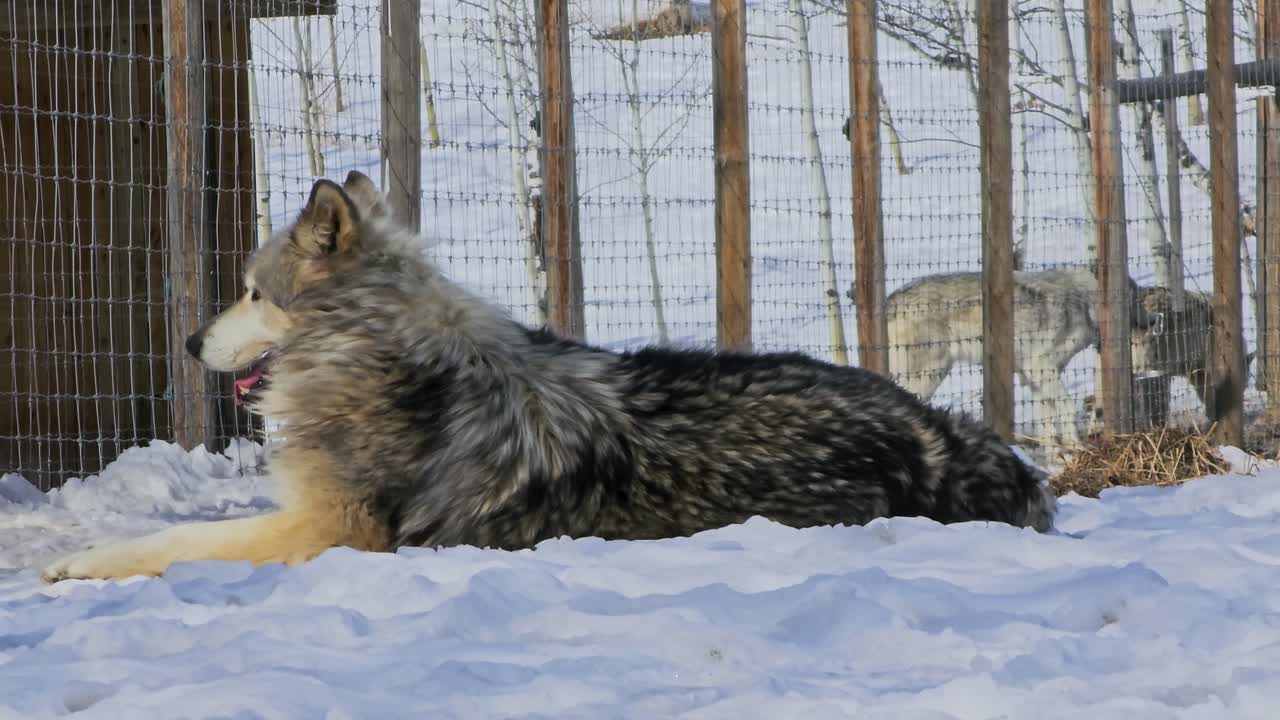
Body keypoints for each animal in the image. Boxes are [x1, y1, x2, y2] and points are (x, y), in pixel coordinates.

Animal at [42, 172, 1055, 583]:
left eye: (252, 293)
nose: (185, 342)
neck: (371, 352)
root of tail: (942, 435)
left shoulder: (331, 532)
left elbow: (170, 544)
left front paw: (74, 562)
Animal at [882, 268, 1153, 446]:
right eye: (1137, 299)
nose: (1152, 320)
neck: (1084, 301)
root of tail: (890, 301)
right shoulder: (1040, 368)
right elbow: (1066, 406)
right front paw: (1076, 446)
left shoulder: (1039, 375)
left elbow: (1047, 420)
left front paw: (1058, 458)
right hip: (929, 375)